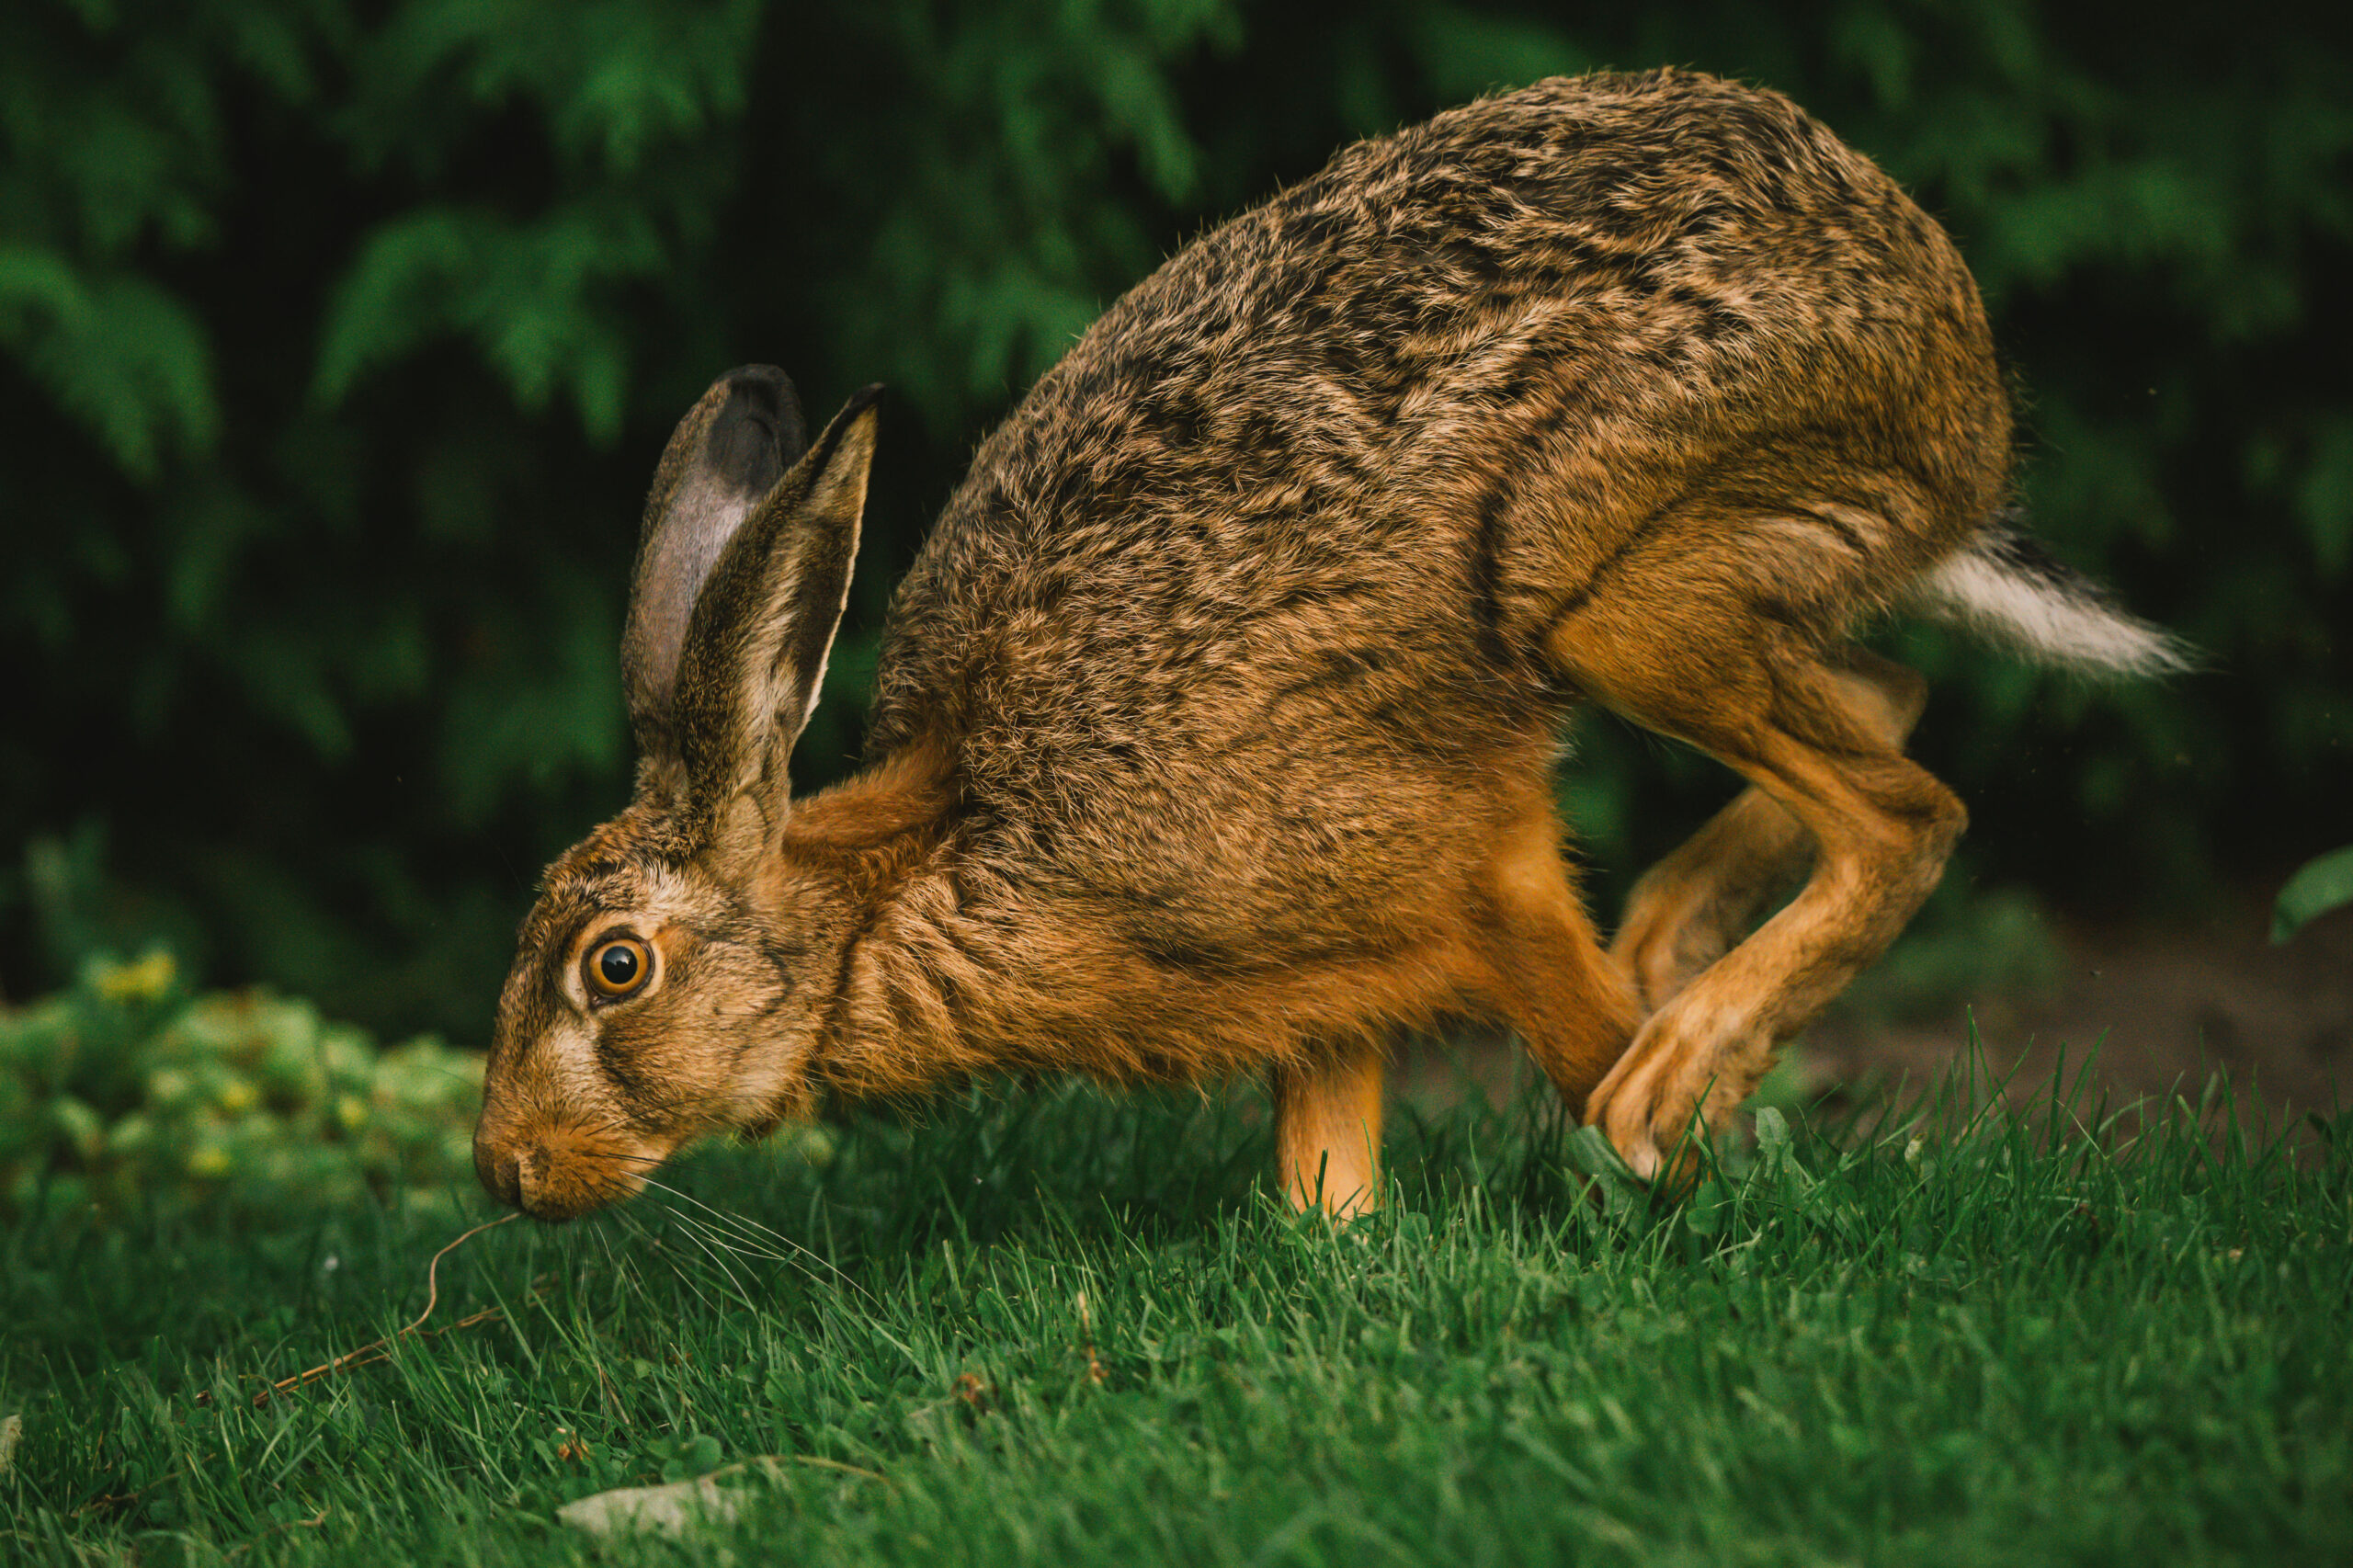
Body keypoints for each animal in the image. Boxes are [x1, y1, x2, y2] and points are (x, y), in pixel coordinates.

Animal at [473, 69, 2184, 1222]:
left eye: (614, 967)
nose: (503, 1171)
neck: (922, 857)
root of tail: (1953, 355)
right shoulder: (1320, 980)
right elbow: (1322, 1157)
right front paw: (1340, 1237)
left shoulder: (1461, 868)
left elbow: (1562, 1026)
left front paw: (1669, 1168)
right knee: (1891, 688)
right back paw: (1674, 943)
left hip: (1608, 575)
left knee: (1909, 812)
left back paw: (1679, 1053)